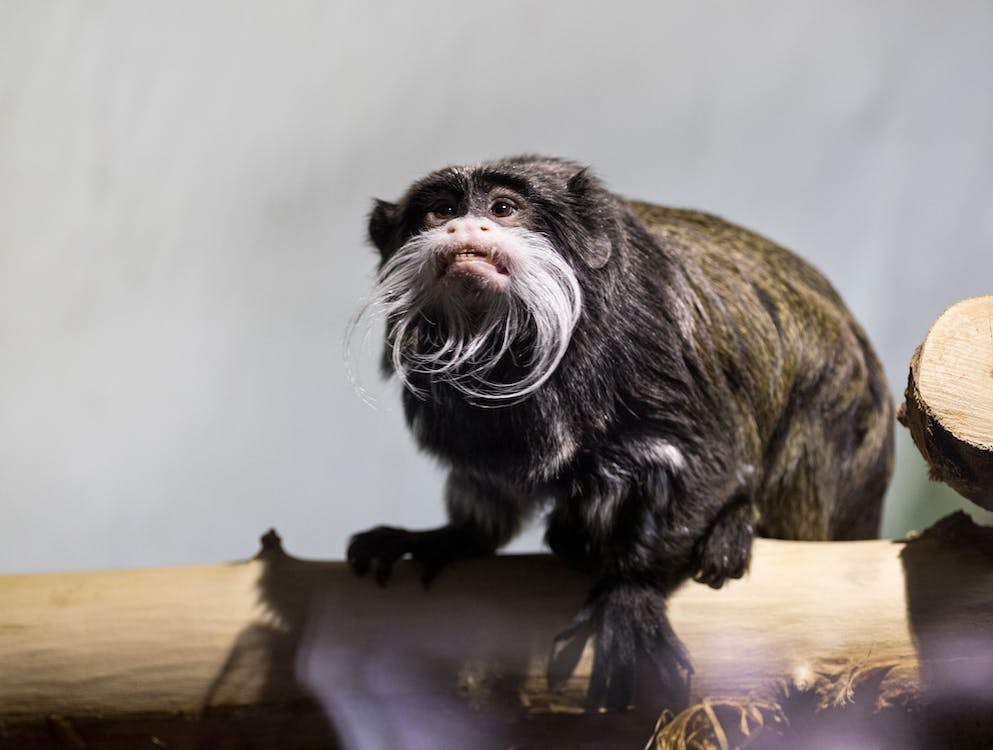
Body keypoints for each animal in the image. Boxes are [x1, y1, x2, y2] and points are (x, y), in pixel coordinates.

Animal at [346, 155, 895, 711]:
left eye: (502, 209)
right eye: (441, 211)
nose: (463, 227)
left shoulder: (643, 329)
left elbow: (713, 453)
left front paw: (632, 588)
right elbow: (488, 488)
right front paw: (445, 536)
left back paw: (734, 525)